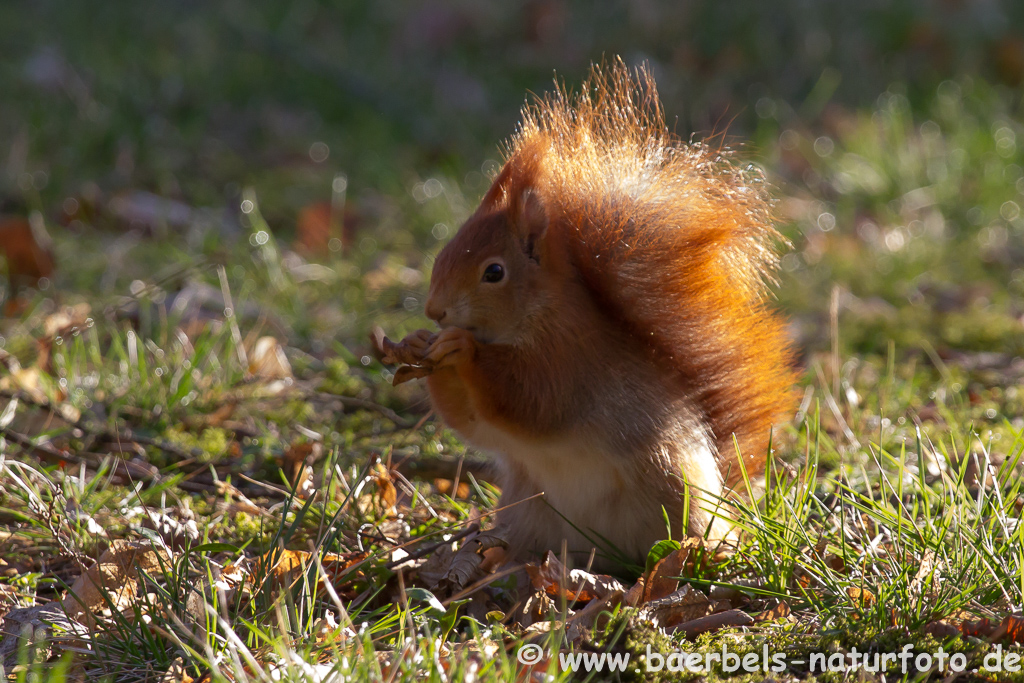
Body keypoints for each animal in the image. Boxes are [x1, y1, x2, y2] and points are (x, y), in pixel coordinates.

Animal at [380, 61, 794, 581]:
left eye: (494, 272)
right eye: (443, 251)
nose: (435, 310)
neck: (529, 319)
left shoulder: (569, 355)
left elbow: (530, 400)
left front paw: (462, 349)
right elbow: (471, 422)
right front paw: (417, 343)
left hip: (673, 495)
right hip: (530, 511)